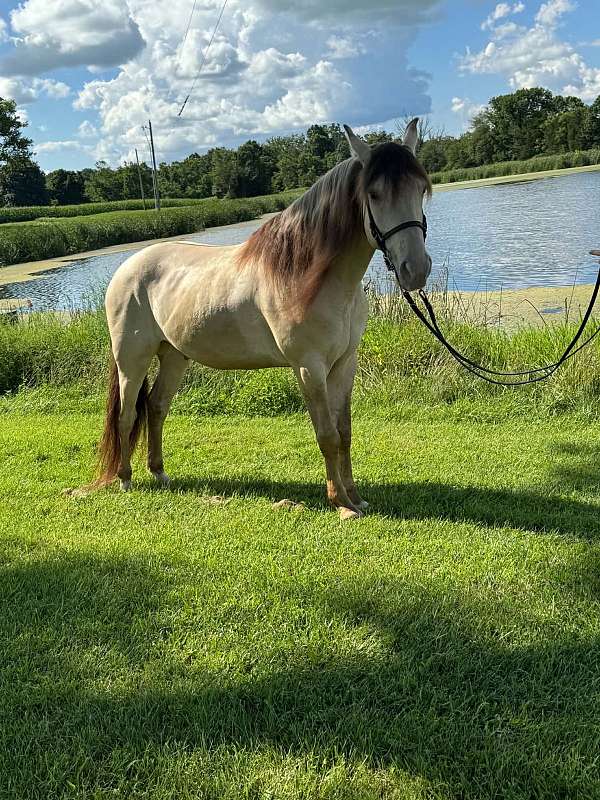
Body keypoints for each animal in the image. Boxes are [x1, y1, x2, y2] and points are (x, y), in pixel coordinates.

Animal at [93, 120, 432, 519]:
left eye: (421, 189)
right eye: (375, 194)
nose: (415, 270)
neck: (310, 275)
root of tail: (126, 267)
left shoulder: (344, 364)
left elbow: (344, 432)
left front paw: (356, 497)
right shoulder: (309, 368)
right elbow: (327, 435)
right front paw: (341, 504)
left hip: (174, 355)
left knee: (156, 407)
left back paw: (159, 473)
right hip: (132, 359)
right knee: (127, 414)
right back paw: (125, 479)